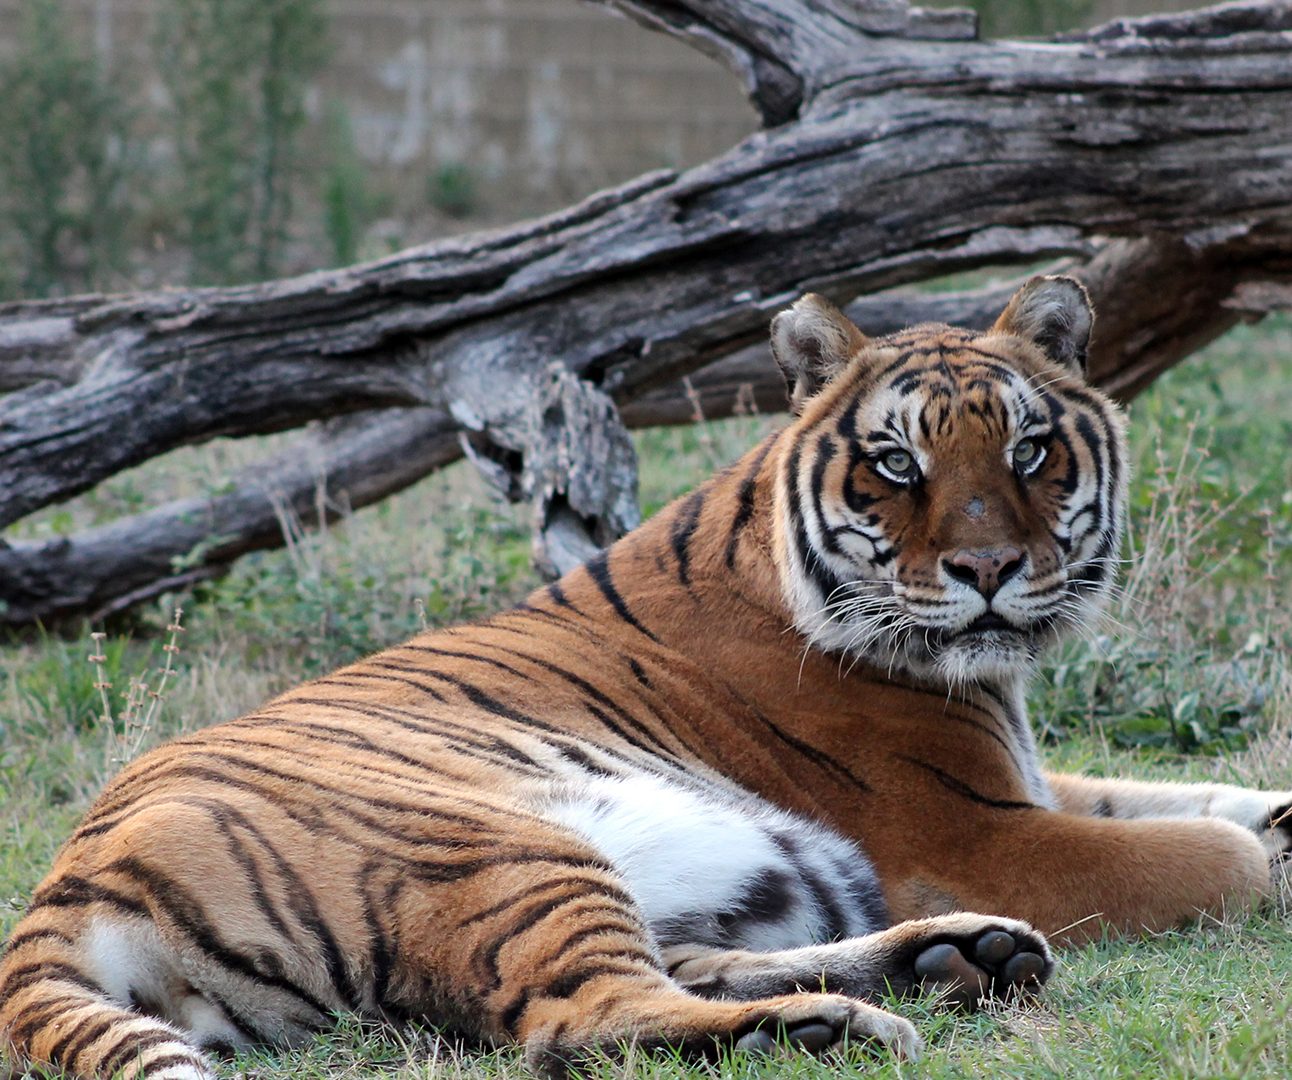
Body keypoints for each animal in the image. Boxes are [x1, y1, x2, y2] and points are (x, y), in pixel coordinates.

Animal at [2, 279, 1292, 1080]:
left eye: (1028, 450)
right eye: (894, 465)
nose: (987, 572)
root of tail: (64, 882)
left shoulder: (1026, 775)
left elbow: (1189, 795)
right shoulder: (974, 829)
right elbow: (1210, 855)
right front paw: (1266, 863)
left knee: (678, 971)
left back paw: (952, 959)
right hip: (504, 847)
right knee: (580, 1022)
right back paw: (828, 1028)